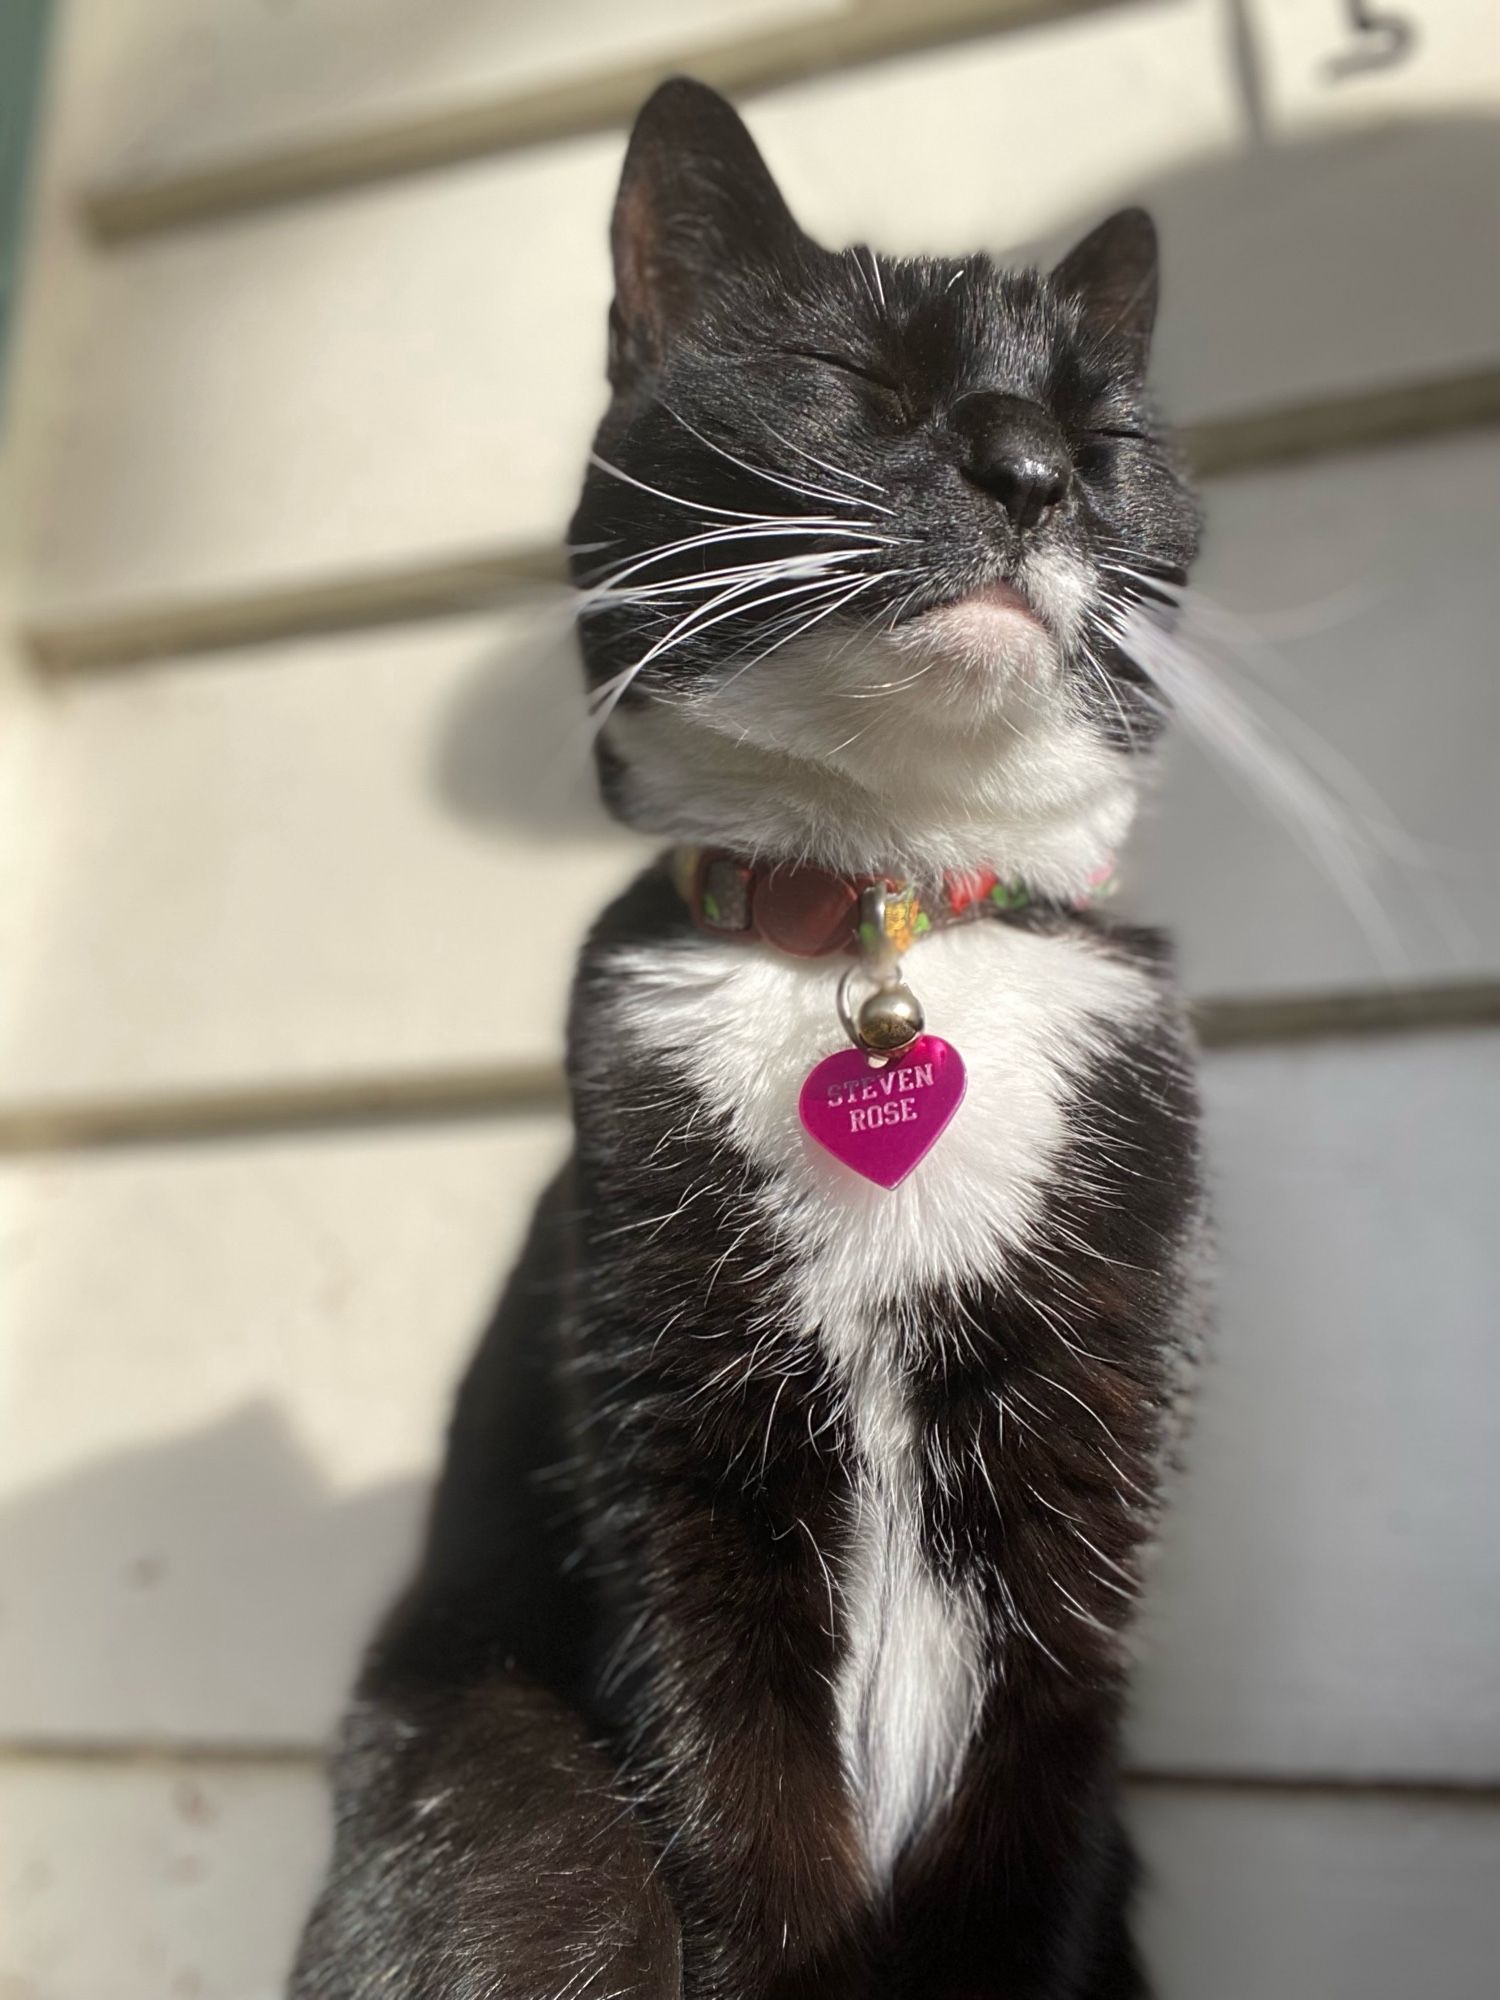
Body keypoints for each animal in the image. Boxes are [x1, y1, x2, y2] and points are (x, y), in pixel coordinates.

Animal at [290, 74, 1208, 2000]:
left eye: (1107, 437)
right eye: (849, 379)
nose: (1027, 470)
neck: (876, 924)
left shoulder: (1090, 1434)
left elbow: (1029, 1805)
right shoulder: (676, 1436)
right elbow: (735, 1786)